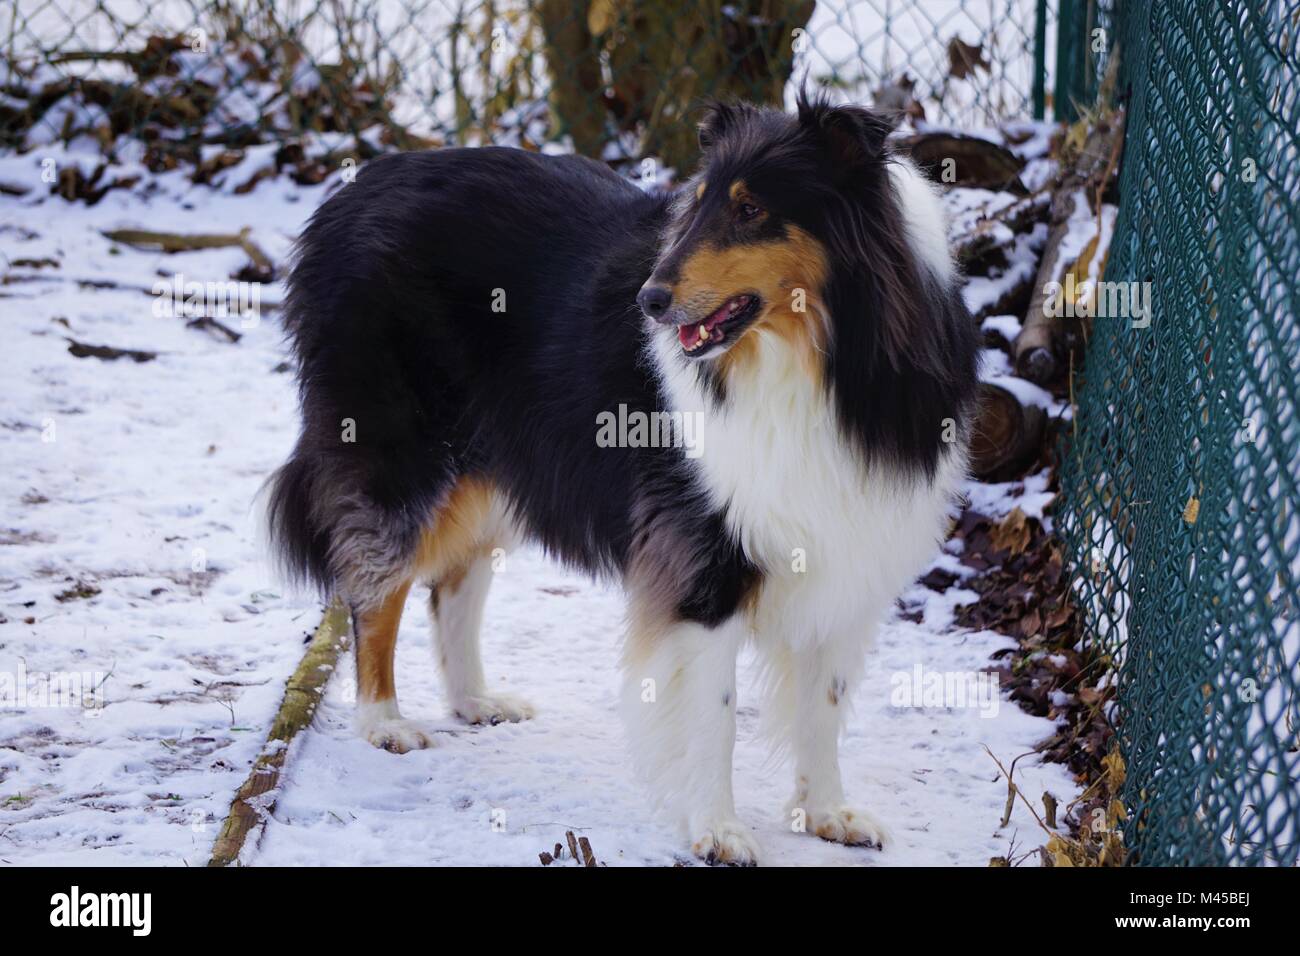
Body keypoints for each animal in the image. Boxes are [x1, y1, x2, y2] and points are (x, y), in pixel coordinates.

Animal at [266, 93, 977, 863]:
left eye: (750, 209)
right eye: (698, 202)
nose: (649, 302)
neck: (813, 360)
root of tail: (353, 191)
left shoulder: (848, 549)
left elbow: (824, 704)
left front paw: (829, 814)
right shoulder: (701, 556)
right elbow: (716, 714)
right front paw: (718, 829)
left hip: (496, 462)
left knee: (454, 583)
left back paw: (475, 701)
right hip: (403, 455)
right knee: (375, 586)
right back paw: (384, 721)